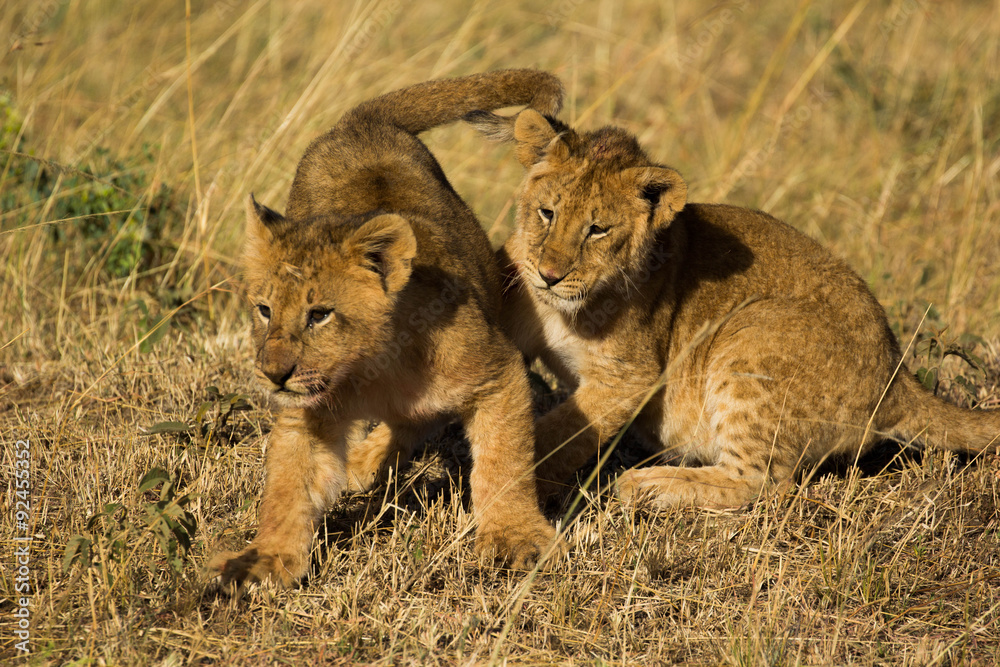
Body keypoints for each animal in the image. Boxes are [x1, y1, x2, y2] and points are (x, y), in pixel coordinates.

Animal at [207, 71, 565, 590]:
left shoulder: (498, 371)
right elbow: (289, 485)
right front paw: (265, 560)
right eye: (264, 310)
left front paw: (516, 539)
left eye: (320, 314)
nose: (274, 375)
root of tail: (362, 120)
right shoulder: (307, 413)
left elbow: (505, 462)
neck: (371, 368)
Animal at [465, 107, 1000, 508]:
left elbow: (561, 431)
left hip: (752, 331)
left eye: (597, 230)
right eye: (547, 213)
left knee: (763, 482)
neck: (560, 309)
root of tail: (897, 376)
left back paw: (648, 484)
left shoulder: (631, 376)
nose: (549, 274)